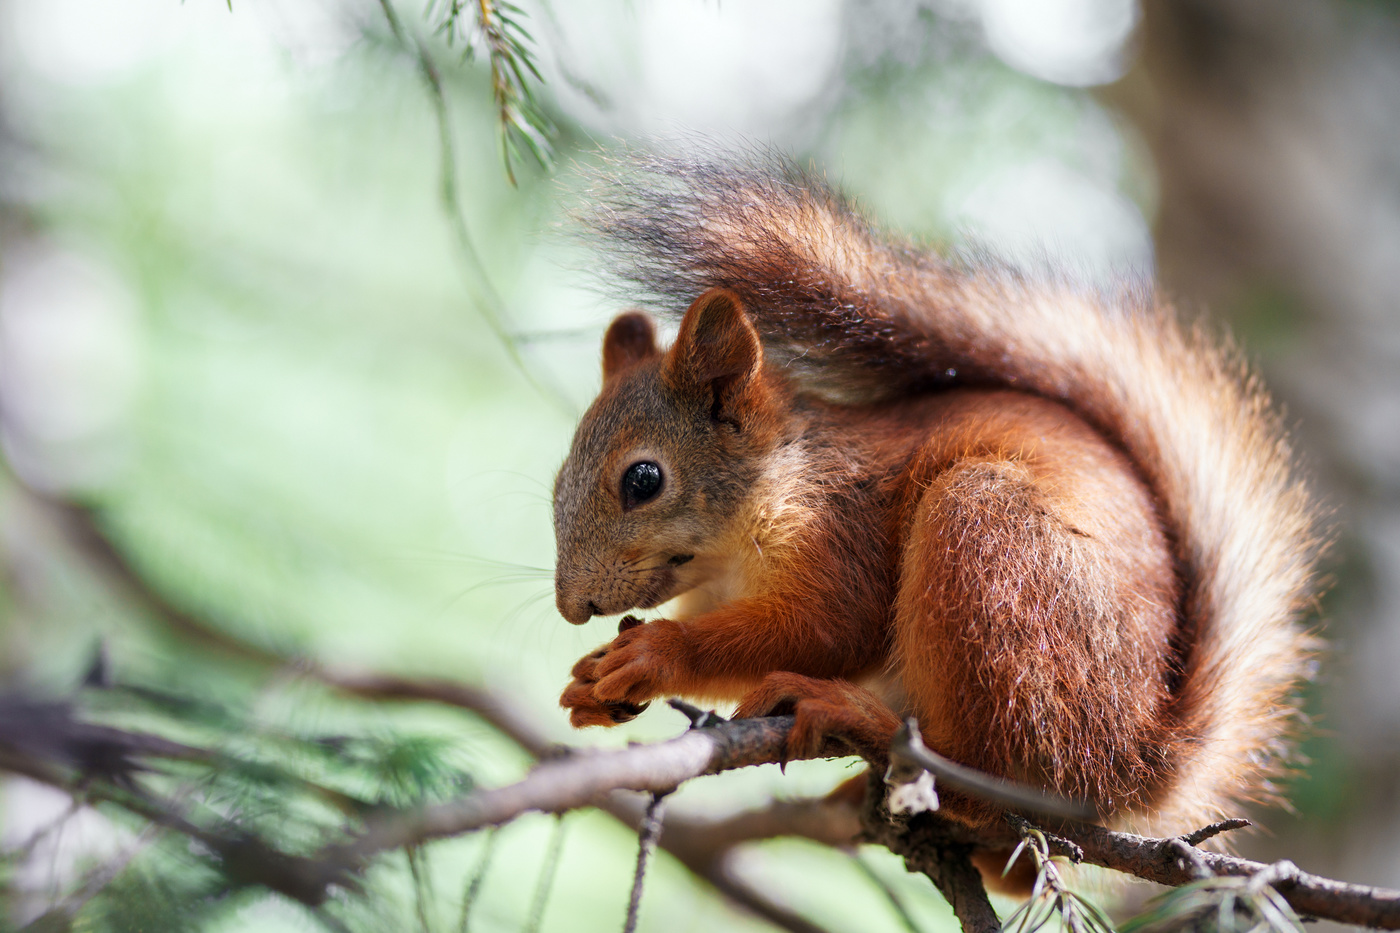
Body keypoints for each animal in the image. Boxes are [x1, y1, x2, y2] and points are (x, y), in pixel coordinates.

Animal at [548, 150, 1321, 857]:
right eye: (557, 481)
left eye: (643, 480)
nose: (570, 608)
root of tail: (1130, 766)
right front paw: (593, 685)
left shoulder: (842, 525)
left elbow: (829, 627)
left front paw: (658, 650)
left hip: (988, 547)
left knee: (983, 781)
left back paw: (856, 718)